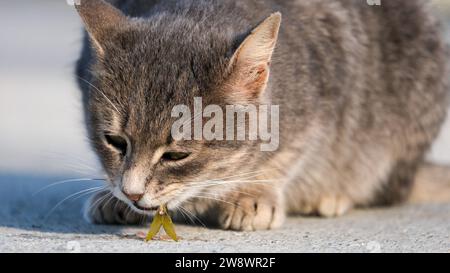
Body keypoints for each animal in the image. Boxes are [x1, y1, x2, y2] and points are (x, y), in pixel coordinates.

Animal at [75, 0, 448, 230]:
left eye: (177, 155)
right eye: (114, 141)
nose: (132, 193)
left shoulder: (318, 116)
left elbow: (283, 160)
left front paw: (254, 194)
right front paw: (113, 197)